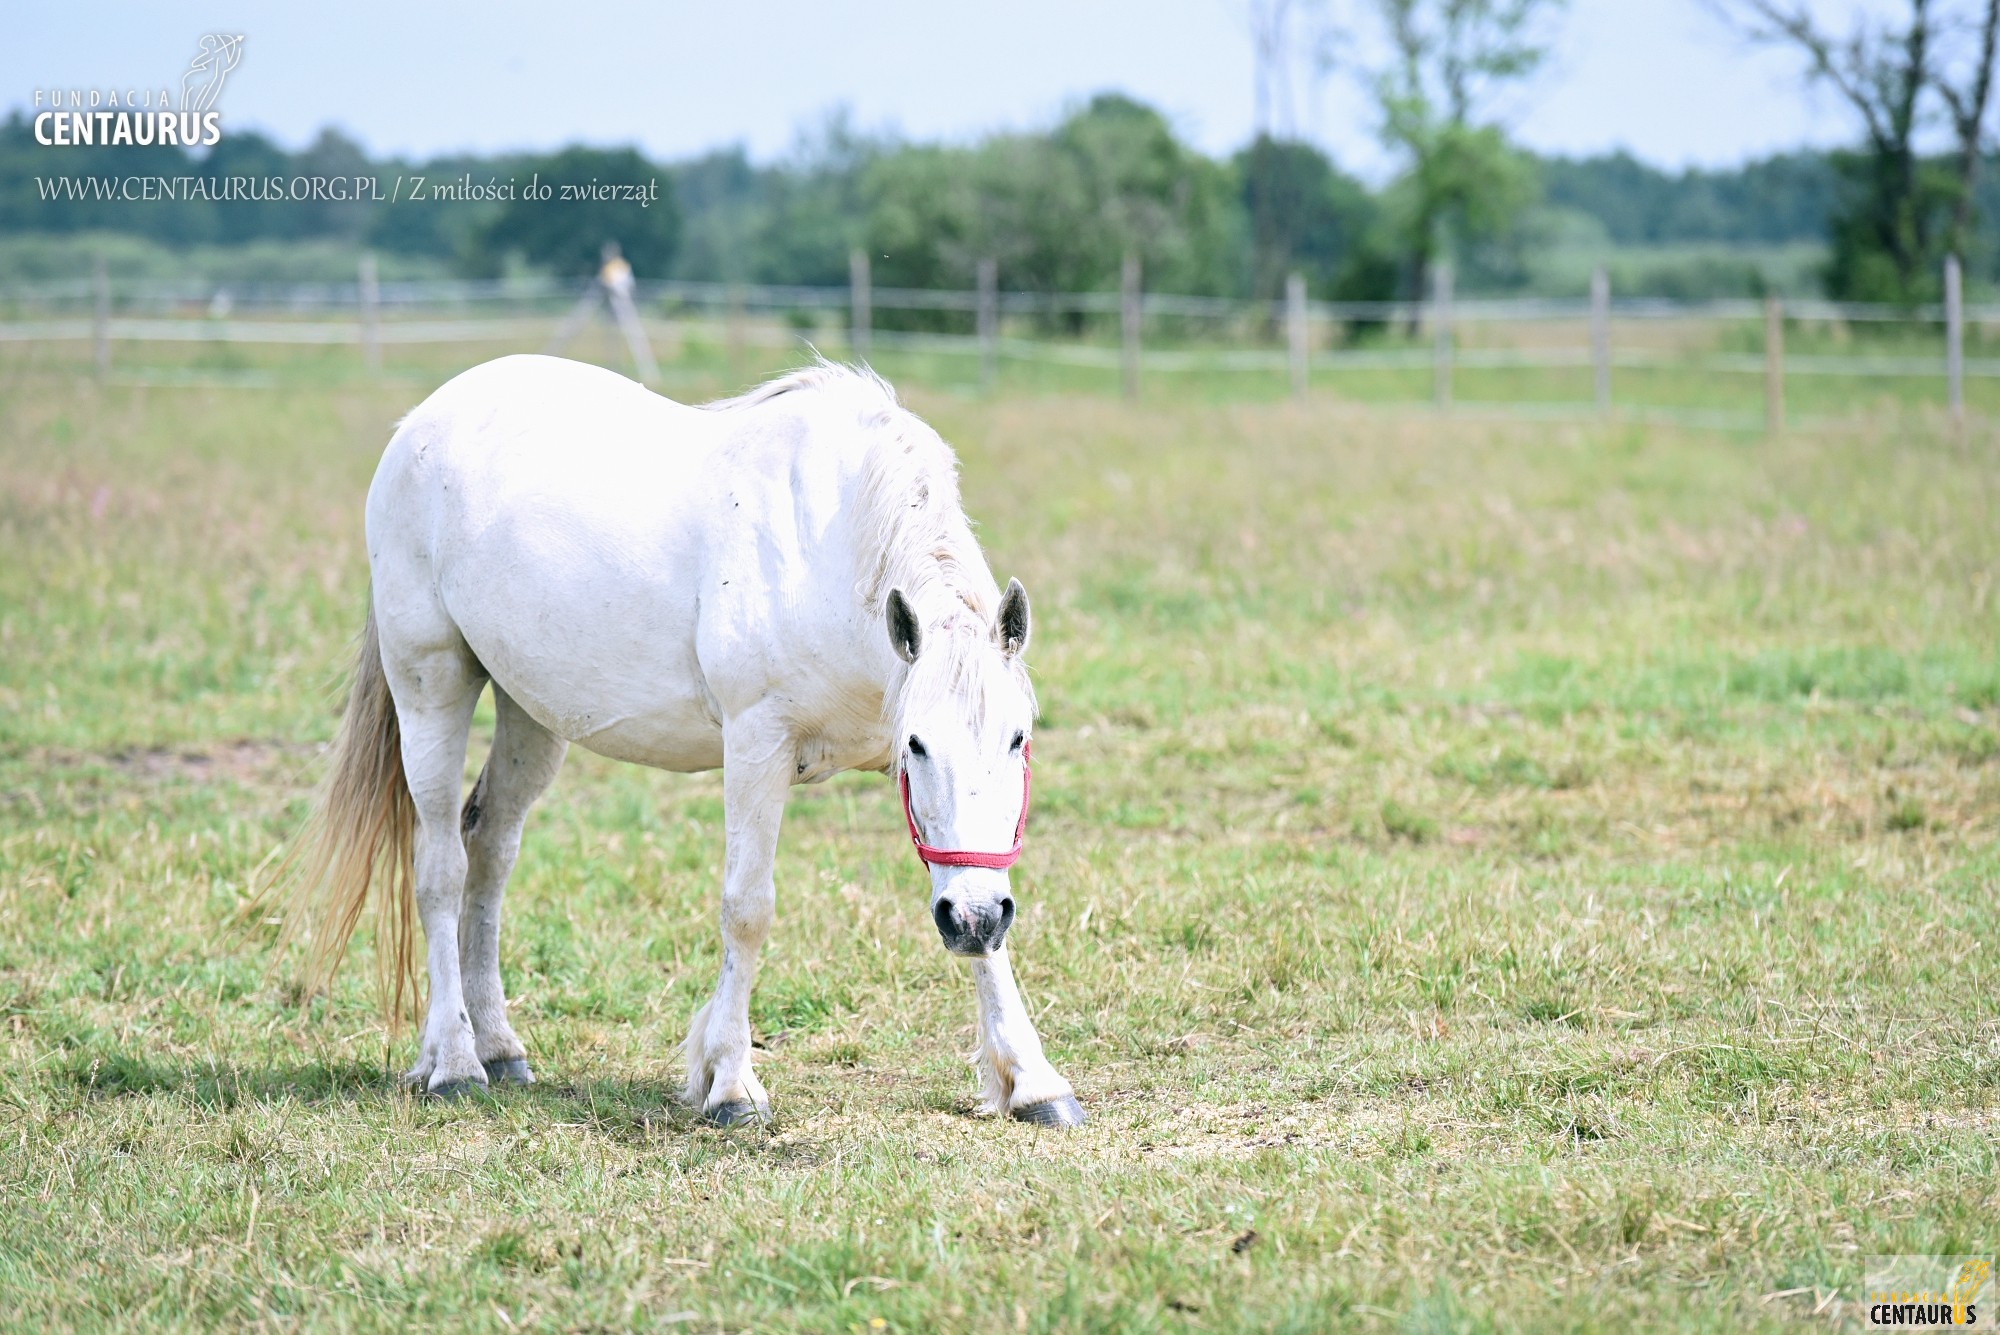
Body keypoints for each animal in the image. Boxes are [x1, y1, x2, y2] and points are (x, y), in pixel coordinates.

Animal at [276, 353, 1088, 1127]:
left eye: (1018, 739)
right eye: (917, 744)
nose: (973, 918)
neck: (830, 548)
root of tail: (420, 422)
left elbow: (986, 926)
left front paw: (1033, 1080)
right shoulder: (758, 744)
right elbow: (746, 908)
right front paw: (730, 1082)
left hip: (530, 712)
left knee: (490, 850)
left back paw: (499, 1047)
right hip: (430, 685)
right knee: (441, 865)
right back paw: (452, 1062)